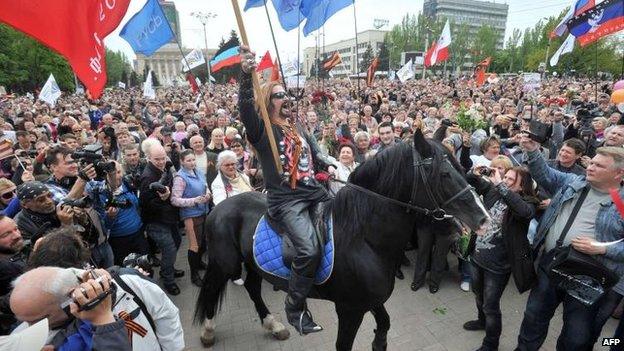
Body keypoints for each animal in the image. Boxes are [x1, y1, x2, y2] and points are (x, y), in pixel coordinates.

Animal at [194, 131, 488, 350]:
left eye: (461, 166)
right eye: (443, 174)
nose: (482, 217)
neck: (365, 239)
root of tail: (220, 206)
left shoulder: (371, 300)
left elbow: (384, 325)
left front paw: (379, 343)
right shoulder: (349, 309)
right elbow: (344, 344)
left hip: (253, 263)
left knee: (253, 288)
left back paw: (273, 325)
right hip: (225, 264)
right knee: (212, 289)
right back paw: (208, 331)